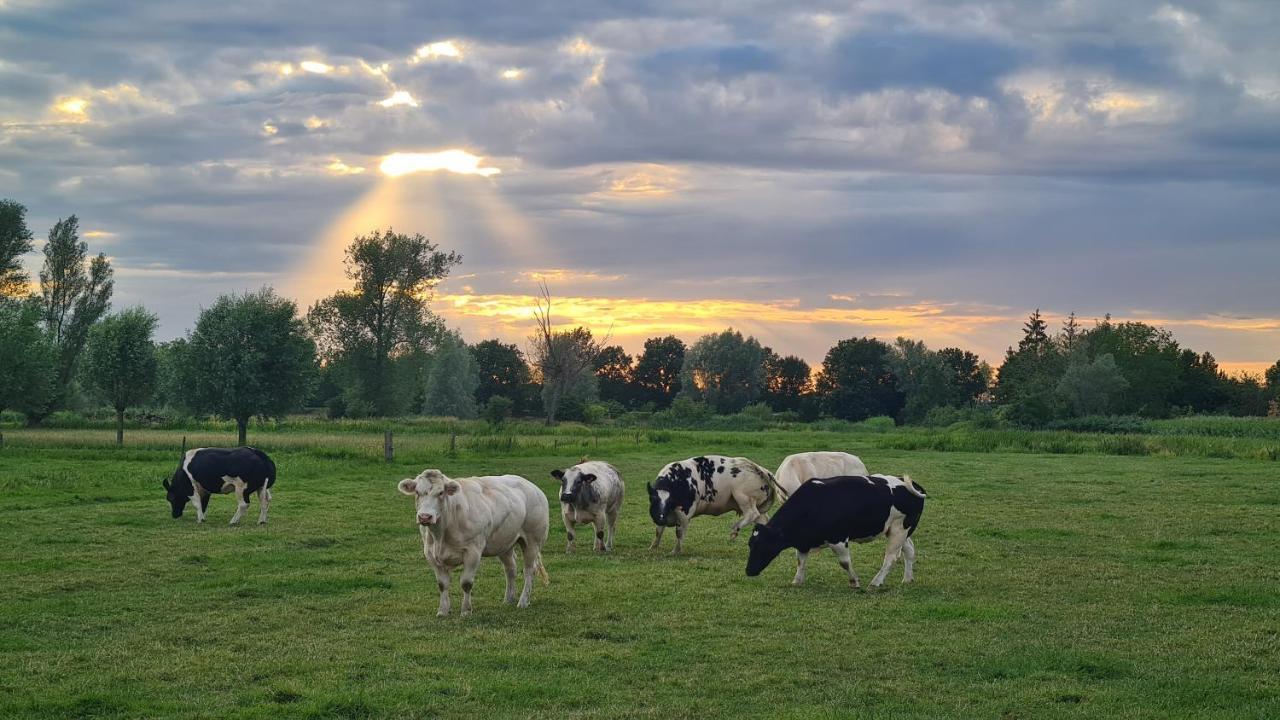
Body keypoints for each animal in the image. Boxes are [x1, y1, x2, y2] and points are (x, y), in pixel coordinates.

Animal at [391, 468, 547, 614]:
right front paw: (443, 610)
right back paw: (508, 599)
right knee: (510, 569)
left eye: (441, 493)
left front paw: (466, 610)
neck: (441, 534)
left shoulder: (473, 551)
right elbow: (442, 584)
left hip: (533, 541)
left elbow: (466, 583)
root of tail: (532, 487)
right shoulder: (430, 554)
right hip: (505, 543)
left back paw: (523, 601)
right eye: (417, 492)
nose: (425, 517)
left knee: (529, 570)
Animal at [645, 453, 773, 556]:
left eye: (670, 501)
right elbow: (658, 531)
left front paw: (675, 551)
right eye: (653, 499)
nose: (661, 518)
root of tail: (759, 468)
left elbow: (679, 533)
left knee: (752, 514)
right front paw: (652, 547)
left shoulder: (685, 514)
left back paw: (734, 530)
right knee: (763, 519)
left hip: (743, 497)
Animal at [747, 471, 926, 589]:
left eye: (763, 545)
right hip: (900, 531)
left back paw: (875, 582)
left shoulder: (838, 539)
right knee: (909, 550)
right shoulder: (803, 542)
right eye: (750, 544)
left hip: (899, 530)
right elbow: (800, 561)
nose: (748, 570)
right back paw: (907, 579)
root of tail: (912, 484)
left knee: (890, 558)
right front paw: (797, 580)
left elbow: (844, 562)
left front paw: (854, 582)